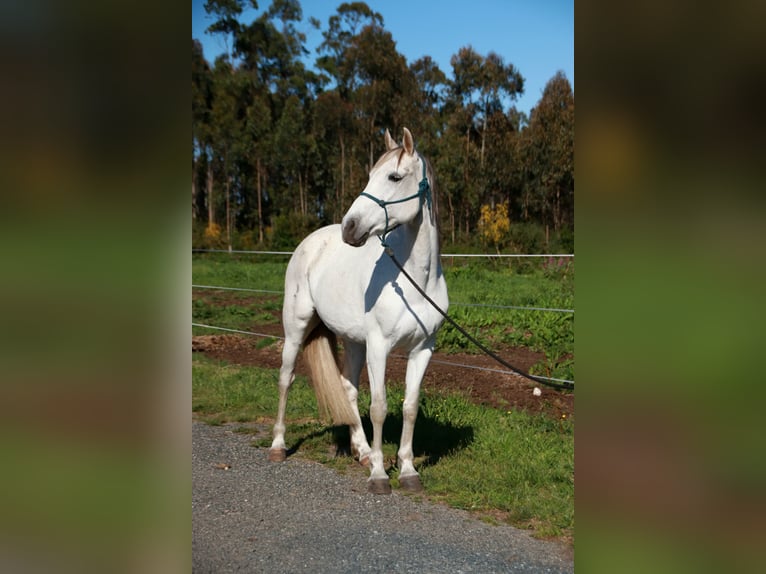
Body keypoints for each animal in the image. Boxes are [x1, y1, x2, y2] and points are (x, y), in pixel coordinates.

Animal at [268, 127, 448, 494]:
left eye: (394, 177)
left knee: (347, 390)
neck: (415, 281)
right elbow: (378, 407)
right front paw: (380, 475)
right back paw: (278, 446)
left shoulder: (423, 349)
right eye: (369, 175)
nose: (350, 227)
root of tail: (311, 242)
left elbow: (409, 407)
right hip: (296, 330)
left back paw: (362, 451)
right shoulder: (379, 347)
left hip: (352, 341)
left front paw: (408, 471)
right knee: (286, 378)